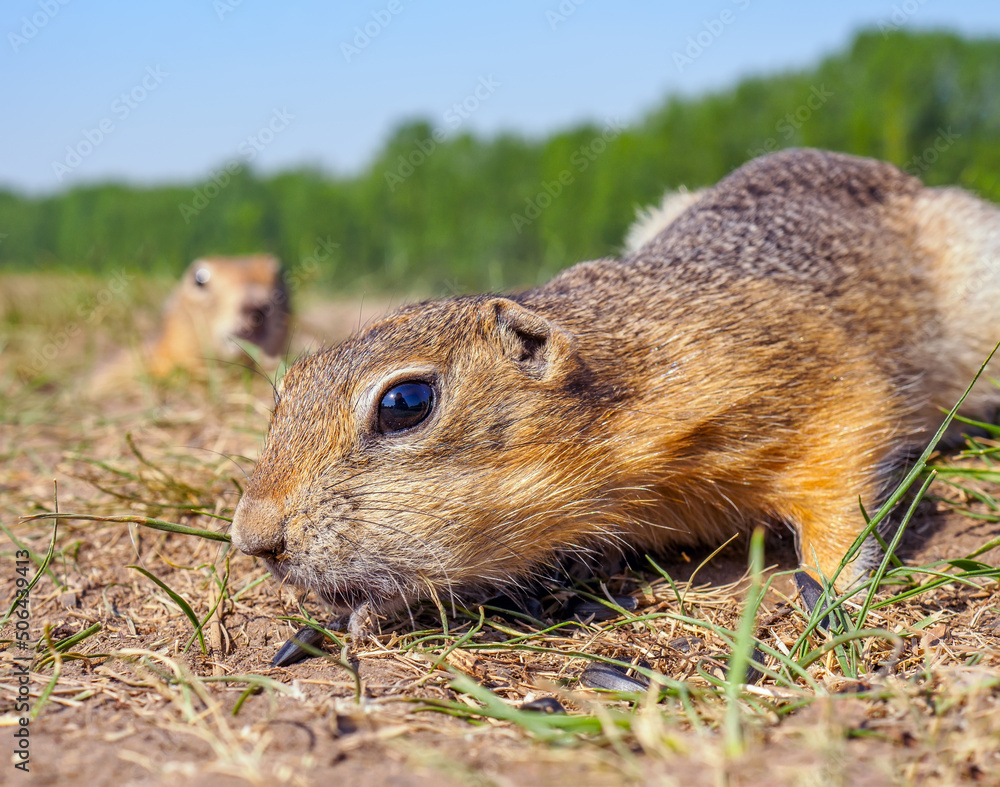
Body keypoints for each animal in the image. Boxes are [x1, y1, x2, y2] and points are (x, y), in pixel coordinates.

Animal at [229, 151, 1000, 620]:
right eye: (286, 387)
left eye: (405, 404)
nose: (252, 539)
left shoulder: (821, 384)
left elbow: (842, 485)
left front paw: (832, 587)